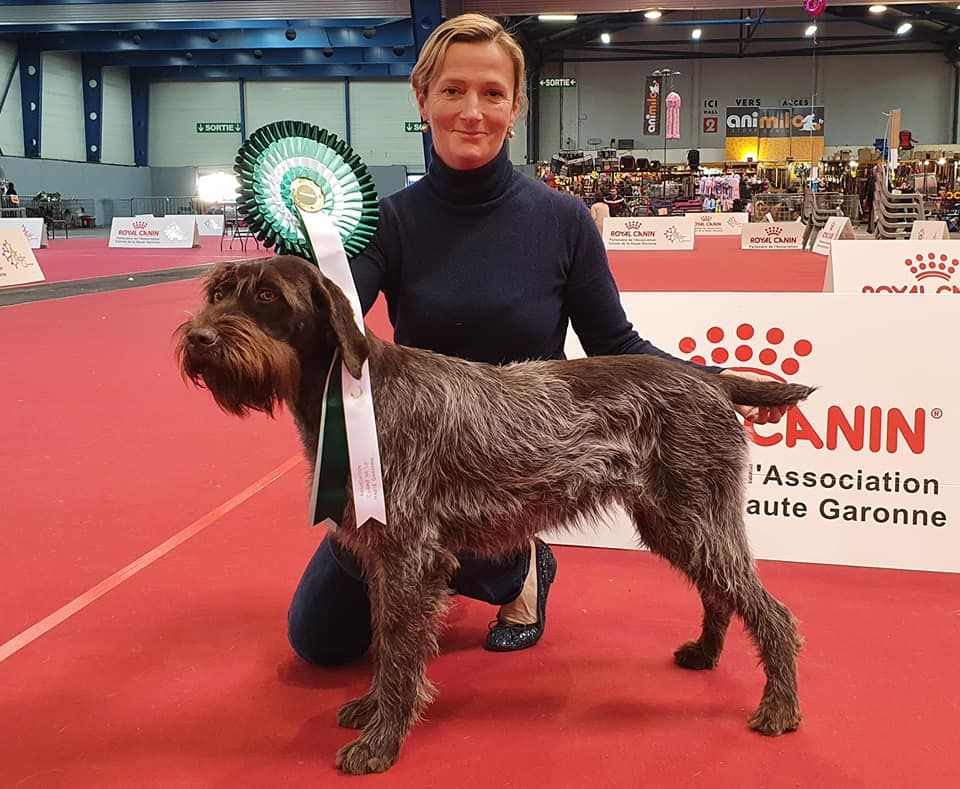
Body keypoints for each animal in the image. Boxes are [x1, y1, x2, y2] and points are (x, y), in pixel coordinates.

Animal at [176, 255, 814, 775]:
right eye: (218, 292)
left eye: (267, 296)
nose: (200, 338)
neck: (352, 395)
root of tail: (711, 382)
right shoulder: (385, 556)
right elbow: (384, 640)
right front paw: (372, 708)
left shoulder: (409, 555)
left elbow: (401, 651)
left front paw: (382, 740)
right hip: (676, 522)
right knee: (720, 593)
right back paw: (706, 653)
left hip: (694, 517)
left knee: (772, 612)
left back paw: (779, 706)